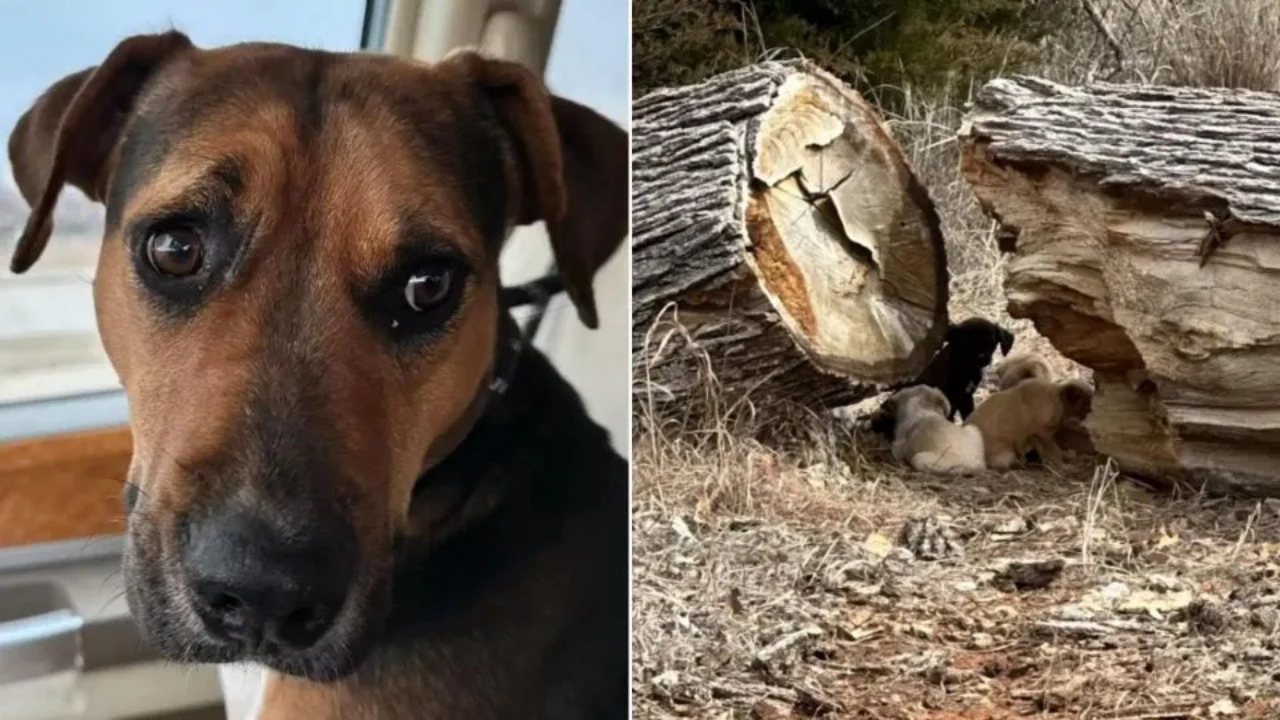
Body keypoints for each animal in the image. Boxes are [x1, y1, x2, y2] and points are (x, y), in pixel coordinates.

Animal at [962, 376, 1095, 471]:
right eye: (1087, 404)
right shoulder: (1042, 434)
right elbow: (1054, 452)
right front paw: (1064, 466)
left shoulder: (1040, 436)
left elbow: (1056, 450)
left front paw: (1067, 456)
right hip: (1006, 454)